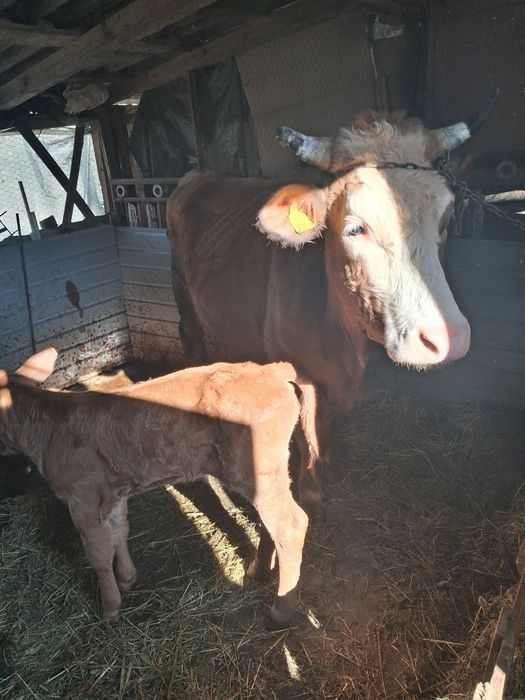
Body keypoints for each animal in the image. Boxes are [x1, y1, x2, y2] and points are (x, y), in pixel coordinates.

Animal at [0, 348, 319, 626]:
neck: (47, 426)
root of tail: (271, 369)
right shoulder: (113, 492)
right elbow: (119, 532)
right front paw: (127, 578)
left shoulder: (83, 497)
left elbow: (99, 555)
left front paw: (109, 607)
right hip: (262, 472)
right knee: (270, 522)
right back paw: (257, 571)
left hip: (258, 467)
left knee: (290, 525)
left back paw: (280, 611)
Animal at [166, 92, 498, 513]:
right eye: (355, 228)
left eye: (446, 218)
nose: (447, 338)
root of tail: (198, 176)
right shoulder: (298, 372)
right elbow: (307, 427)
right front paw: (311, 490)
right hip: (184, 302)